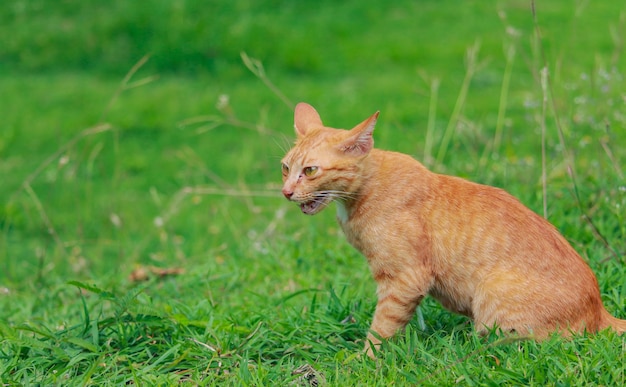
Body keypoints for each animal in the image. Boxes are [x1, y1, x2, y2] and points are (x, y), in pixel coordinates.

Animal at [280, 102, 624, 358]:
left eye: (310, 170)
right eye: (285, 167)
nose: (285, 192)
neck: (360, 194)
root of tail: (599, 310)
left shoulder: (404, 279)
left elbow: (382, 327)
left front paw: (364, 359)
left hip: (491, 301)